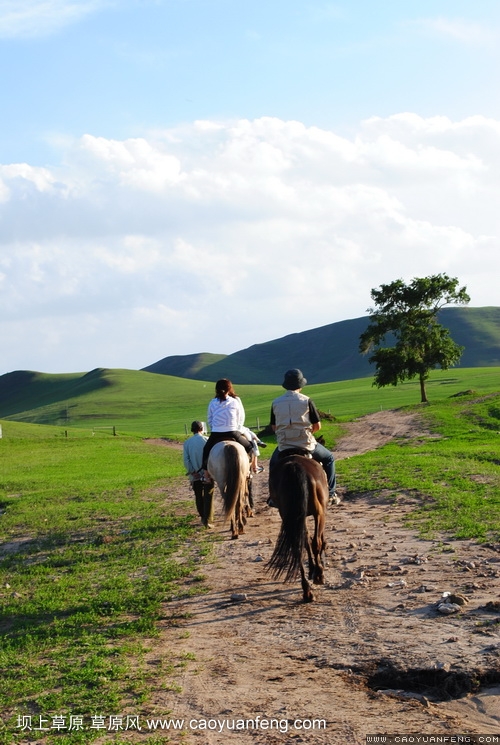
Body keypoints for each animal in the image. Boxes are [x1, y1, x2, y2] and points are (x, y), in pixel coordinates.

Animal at [268, 450, 330, 600]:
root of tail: (294, 466)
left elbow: (305, 541)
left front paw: (312, 569)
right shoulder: (321, 512)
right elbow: (317, 541)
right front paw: (318, 567)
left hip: (289, 515)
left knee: (297, 547)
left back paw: (307, 590)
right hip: (319, 513)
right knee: (316, 542)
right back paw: (319, 576)